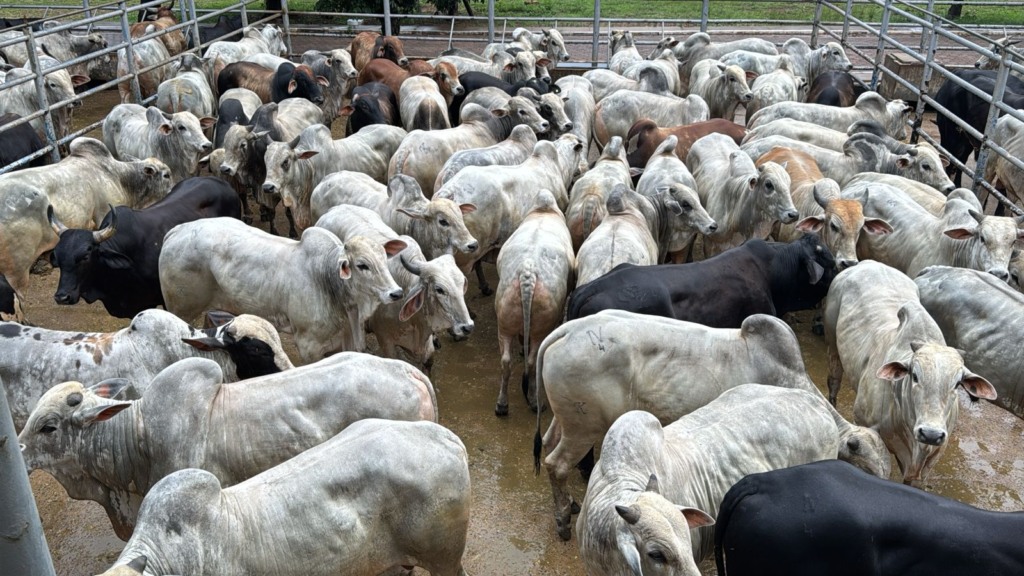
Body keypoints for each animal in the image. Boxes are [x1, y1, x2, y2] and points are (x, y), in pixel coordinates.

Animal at [160, 217, 403, 362]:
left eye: (385, 259)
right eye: (362, 265)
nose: (396, 293)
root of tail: (177, 230)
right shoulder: (308, 345)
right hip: (180, 309)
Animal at [493, 190, 574, 416]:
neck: (543, 211)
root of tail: (528, 272)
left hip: (505, 317)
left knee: (506, 361)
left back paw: (502, 405)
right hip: (541, 322)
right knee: (532, 360)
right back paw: (534, 401)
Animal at [824, 260, 998, 485]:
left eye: (957, 384)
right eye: (914, 376)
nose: (931, 434)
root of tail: (868, 262)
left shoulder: (931, 458)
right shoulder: (864, 427)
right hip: (831, 341)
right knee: (834, 379)